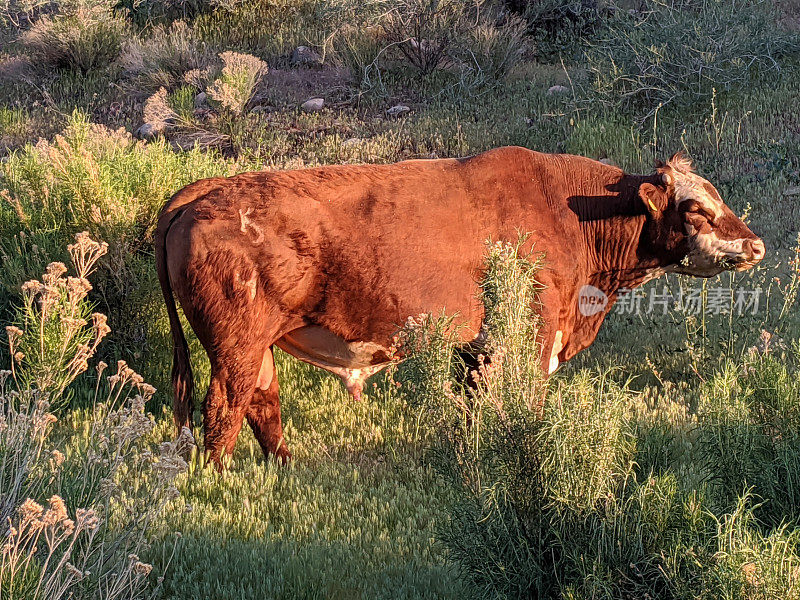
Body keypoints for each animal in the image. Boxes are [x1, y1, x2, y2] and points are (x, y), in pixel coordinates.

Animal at [155, 148, 764, 466]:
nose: (756, 244)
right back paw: (218, 478)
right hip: (235, 345)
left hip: (255, 347)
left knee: (263, 403)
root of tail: (205, 190)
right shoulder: (529, 337)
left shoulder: (473, 349)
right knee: (225, 410)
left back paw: (284, 468)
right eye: (698, 210)